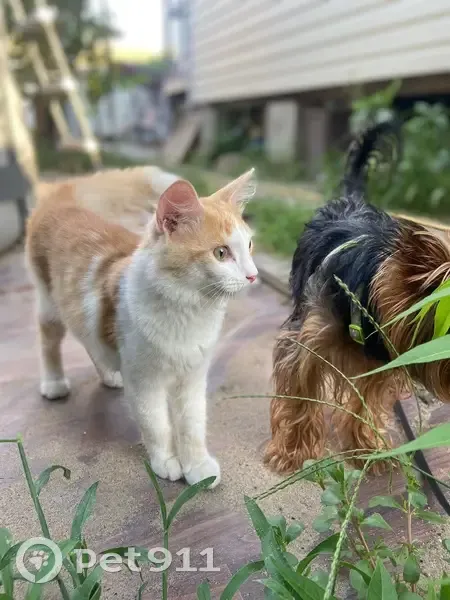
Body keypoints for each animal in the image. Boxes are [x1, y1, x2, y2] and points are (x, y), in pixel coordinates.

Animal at [26, 168, 258, 488]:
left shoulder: (193, 376)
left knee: (91, 340)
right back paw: (54, 383)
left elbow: (192, 425)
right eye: (221, 253)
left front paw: (197, 466)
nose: (253, 275)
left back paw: (109, 374)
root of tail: (61, 195)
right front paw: (167, 462)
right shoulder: (144, 380)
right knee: (49, 342)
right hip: (48, 301)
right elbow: (157, 425)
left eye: (248, 246)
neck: (188, 312)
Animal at [265, 121, 450, 474]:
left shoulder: (380, 362)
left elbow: (366, 404)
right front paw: (291, 451)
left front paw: (366, 449)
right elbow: (300, 392)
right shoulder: (305, 340)